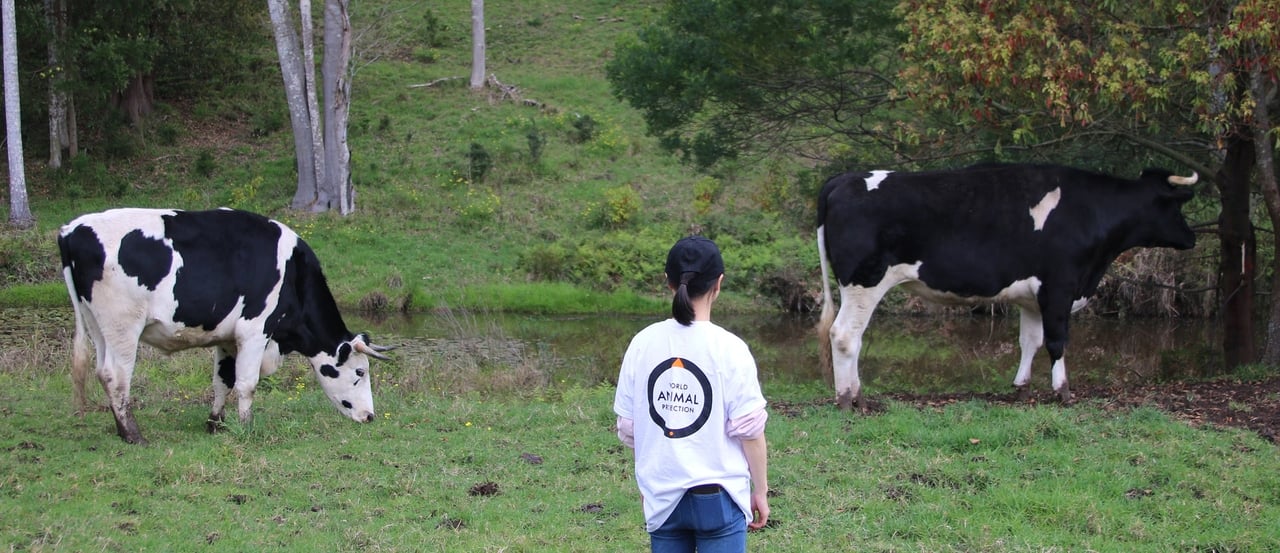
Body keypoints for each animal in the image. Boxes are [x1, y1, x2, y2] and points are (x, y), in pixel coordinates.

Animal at [56, 207, 394, 445]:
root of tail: (71, 229)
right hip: (123, 327)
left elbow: (222, 380)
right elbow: (247, 384)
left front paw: (215, 423)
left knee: (101, 372)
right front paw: (247, 427)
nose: (370, 416)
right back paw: (133, 435)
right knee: (117, 376)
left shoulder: (227, 338)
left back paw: (120, 429)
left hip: (97, 326)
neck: (293, 274)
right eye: (360, 372)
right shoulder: (255, 332)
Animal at [819, 163, 1198, 409]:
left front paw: (1022, 388)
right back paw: (848, 399)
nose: (1193, 237)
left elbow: (1029, 341)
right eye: (1176, 208)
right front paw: (1063, 391)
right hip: (864, 283)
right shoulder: (1059, 287)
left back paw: (856, 396)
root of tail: (844, 179)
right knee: (845, 335)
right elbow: (1057, 341)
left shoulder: (1032, 298)